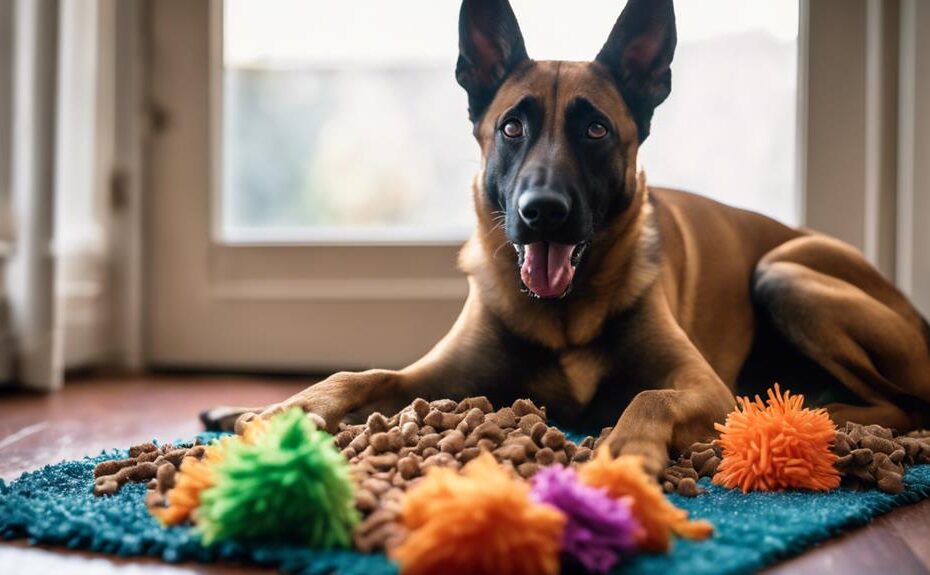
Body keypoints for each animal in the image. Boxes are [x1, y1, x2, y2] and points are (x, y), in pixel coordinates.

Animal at [203, 0, 928, 476]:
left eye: (596, 130)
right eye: (512, 127)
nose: (543, 212)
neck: (563, 314)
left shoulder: (700, 384)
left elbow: (650, 393)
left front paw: (627, 446)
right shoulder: (431, 376)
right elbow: (361, 372)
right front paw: (287, 409)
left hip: (783, 273)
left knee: (905, 404)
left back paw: (812, 416)